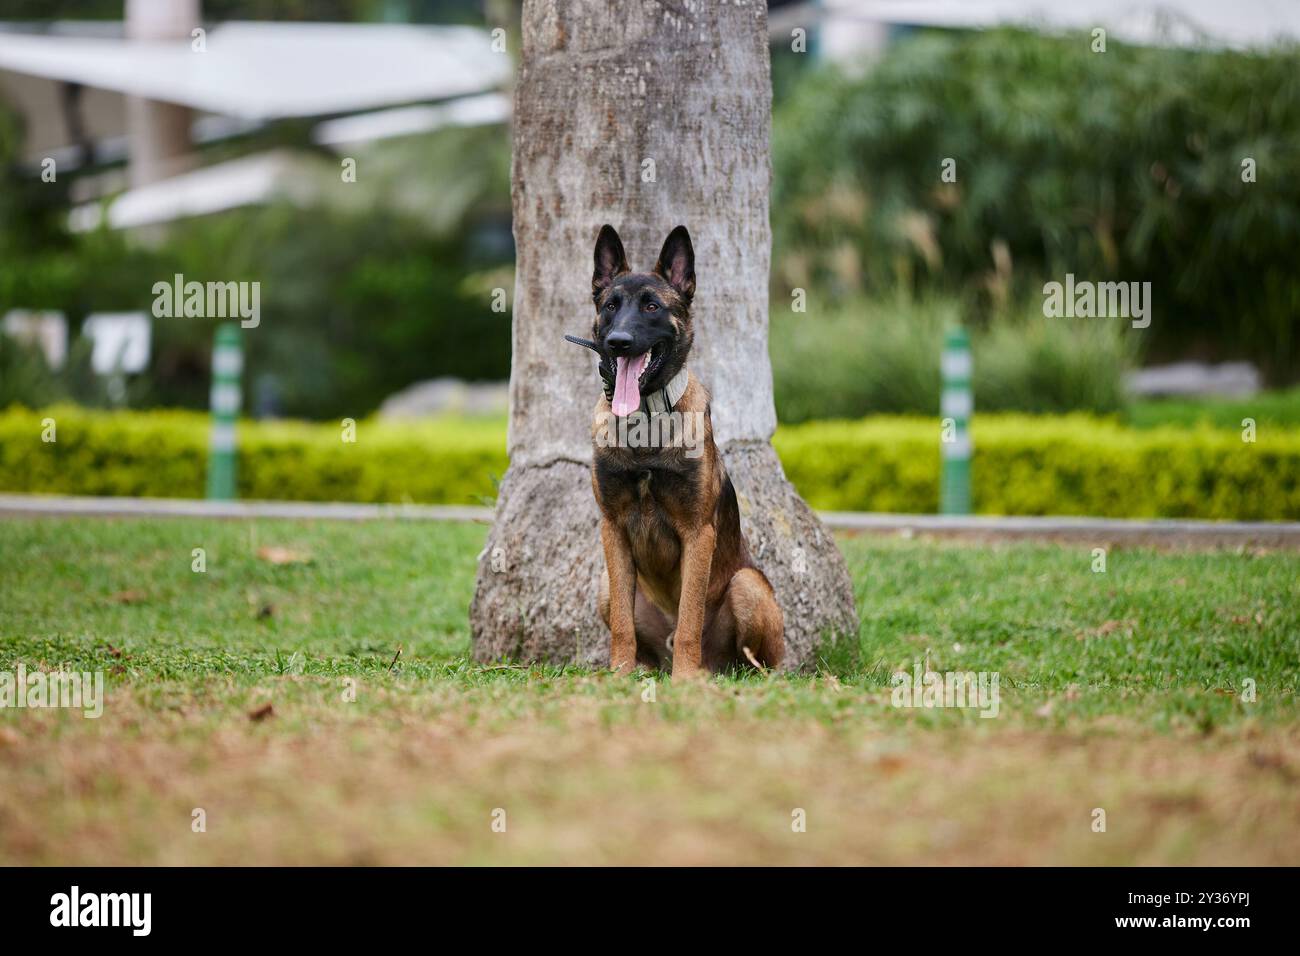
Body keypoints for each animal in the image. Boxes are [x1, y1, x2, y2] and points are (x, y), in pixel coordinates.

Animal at [566, 225, 780, 681]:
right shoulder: (612, 529)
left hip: (747, 585)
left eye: (651, 306)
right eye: (610, 306)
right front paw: (619, 673)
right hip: (603, 585)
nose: (619, 342)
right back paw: (645, 668)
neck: (645, 424)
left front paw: (685, 679)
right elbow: (623, 625)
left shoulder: (698, 533)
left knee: (756, 660)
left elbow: (689, 618)